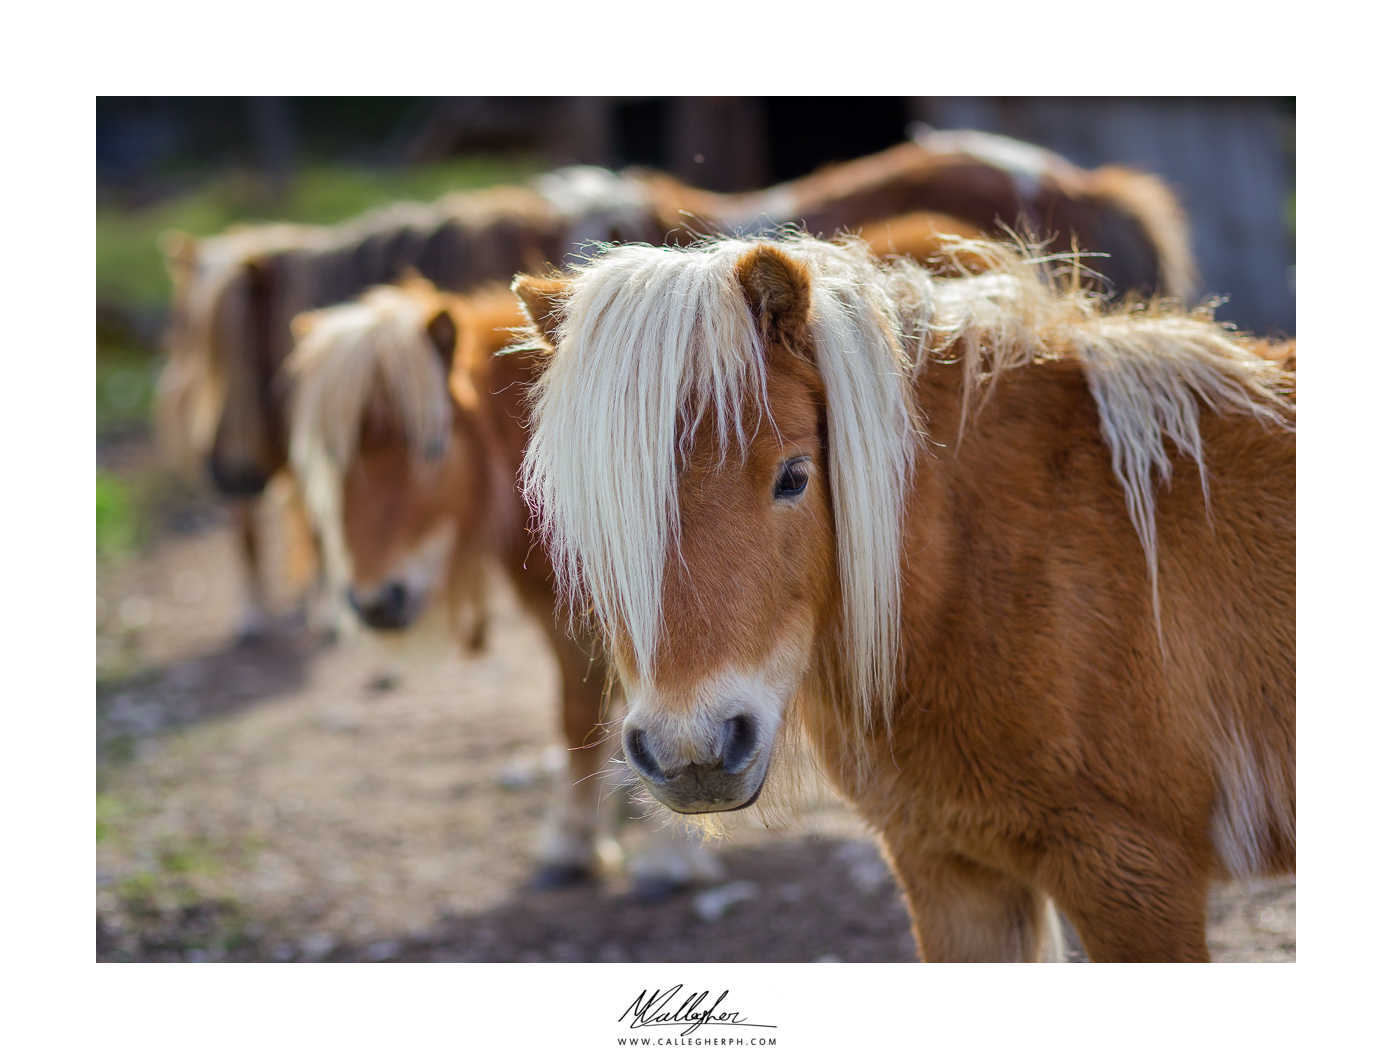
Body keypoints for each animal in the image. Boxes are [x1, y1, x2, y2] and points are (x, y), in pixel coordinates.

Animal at [284, 277, 723, 894]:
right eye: (332, 454)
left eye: (434, 447)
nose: (376, 602)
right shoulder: (565, 621)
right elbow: (578, 715)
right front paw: (574, 841)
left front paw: (672, 855)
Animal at [512, 233, 1294, 961]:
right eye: (601, 502)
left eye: (794, 476)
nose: (693, 751)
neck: (995, 565)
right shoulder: (952, 871)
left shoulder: (1133, 877)